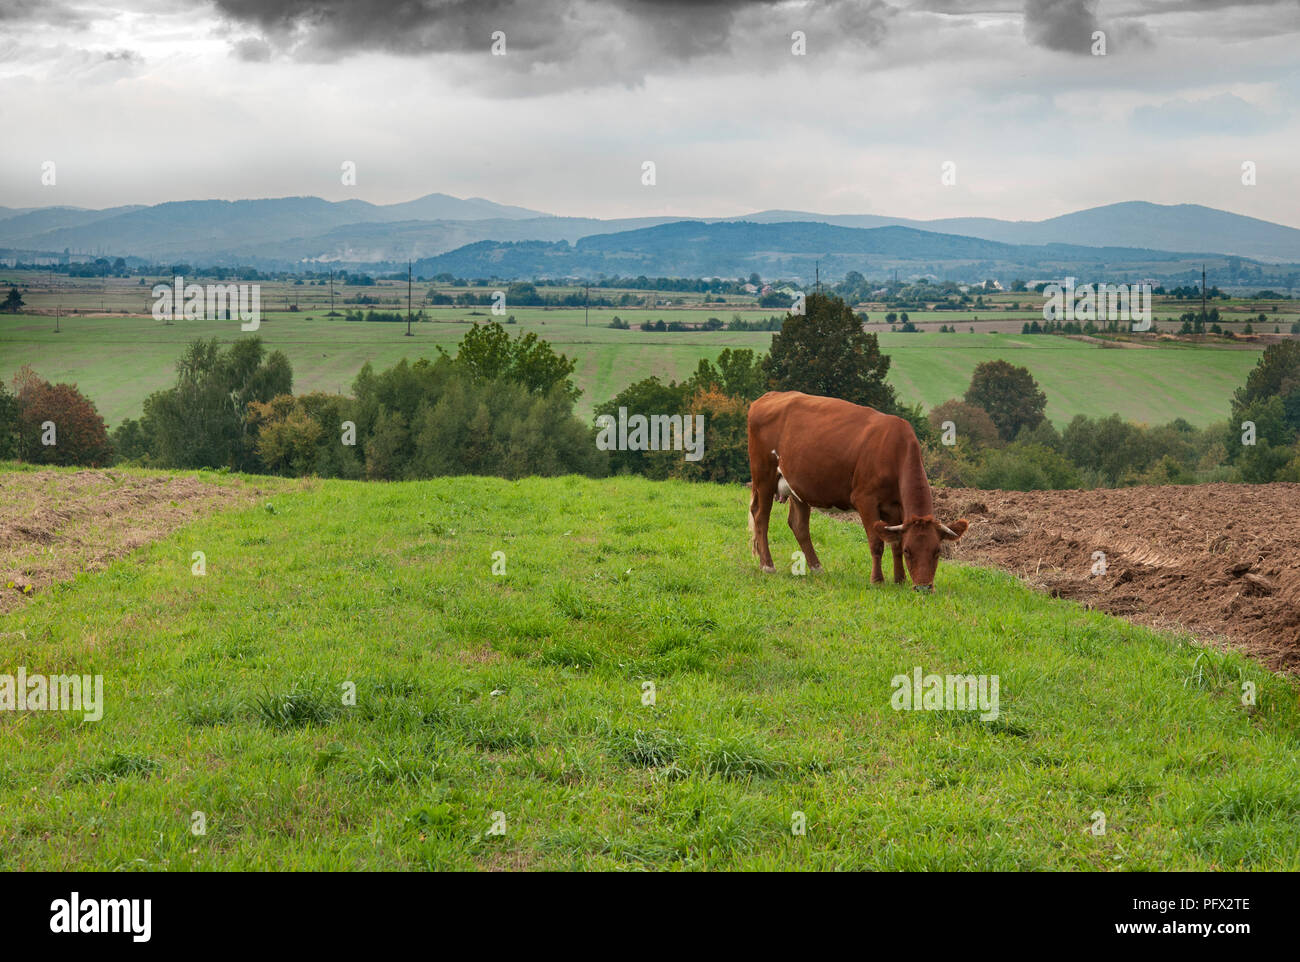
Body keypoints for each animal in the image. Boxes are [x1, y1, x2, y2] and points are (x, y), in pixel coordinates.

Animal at [747, 390, 968, 592]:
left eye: (937, 551)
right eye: (909, 551)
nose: (923, 588)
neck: (894, 449)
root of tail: (770, 395)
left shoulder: (895, 506)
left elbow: (894, 543)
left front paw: (899, 580)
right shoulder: (865, 500)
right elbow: (877, 543)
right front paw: (877, 580)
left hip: (798, 486)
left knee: (799, 525)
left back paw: (817, 568)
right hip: (764, 476)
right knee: (761, 516)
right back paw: (768, 565)